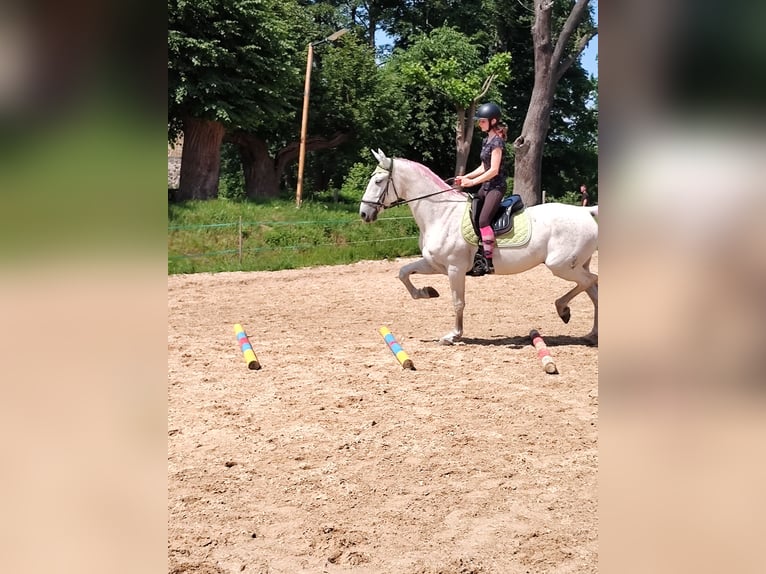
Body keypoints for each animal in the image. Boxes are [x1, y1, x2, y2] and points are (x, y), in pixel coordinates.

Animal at [360, 148, 600, 346]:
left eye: (379, 181)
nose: (363, 213)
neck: (441, 214)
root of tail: (585, 212)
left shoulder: (455, 269)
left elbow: (458, 302)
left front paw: (453, 335)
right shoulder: (435, 264)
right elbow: (403, 272)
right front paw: (426, 292)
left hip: (561, 266)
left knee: (590, 281)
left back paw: (563, 309)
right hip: (576, 265)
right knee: (593, 288)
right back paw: (591, 334)